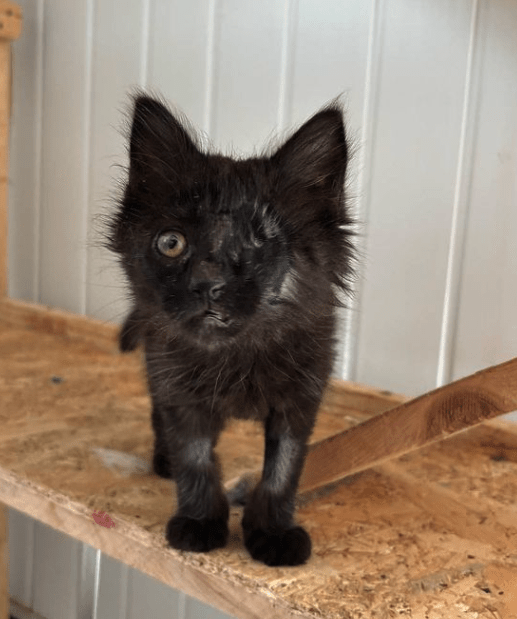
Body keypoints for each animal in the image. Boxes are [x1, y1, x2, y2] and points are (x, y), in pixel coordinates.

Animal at [107, 93, 352, 568]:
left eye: (258, 242)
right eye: (171, 242)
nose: (207, 283)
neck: (237, 356)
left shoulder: (301, 398)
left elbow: (283, 469)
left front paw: (272, 532)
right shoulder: (178, 387)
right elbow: (195, 456)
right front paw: (200, 522)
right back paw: (164, 460)